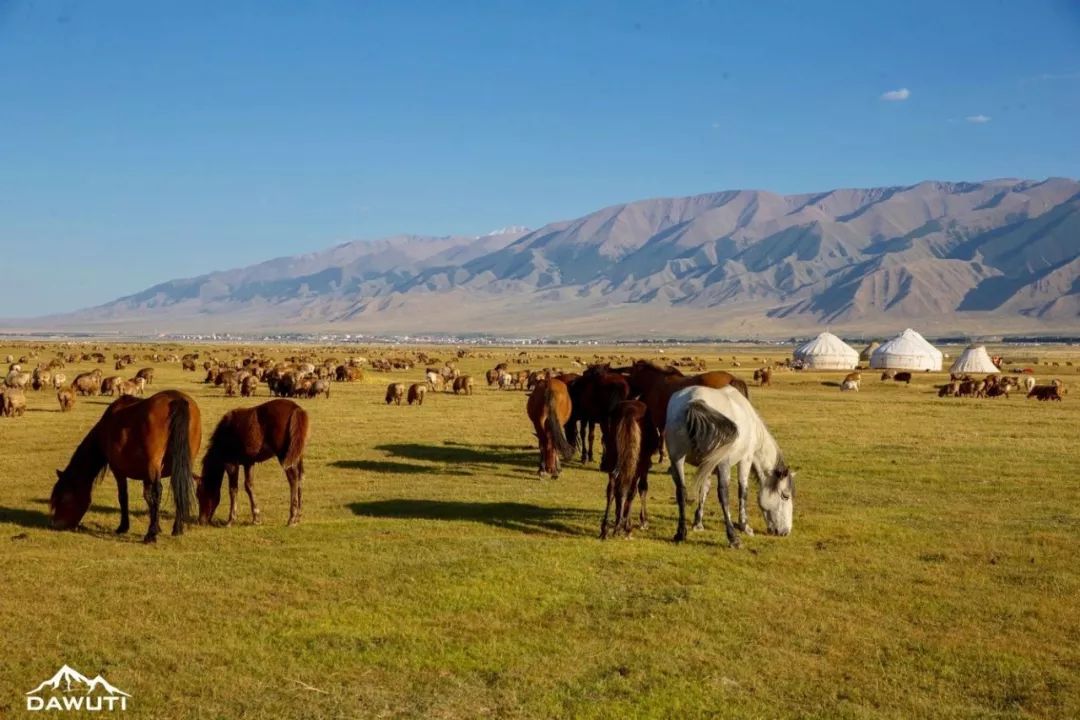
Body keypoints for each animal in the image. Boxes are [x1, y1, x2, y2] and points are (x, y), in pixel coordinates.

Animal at [48, 390, 201, 544]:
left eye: (64, 499)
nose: (55, 525)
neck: (106, 428)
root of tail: (176, 399)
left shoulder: (119, 471)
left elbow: (124, 497)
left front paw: (124, 527)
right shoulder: (146, 475)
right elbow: (148, 497)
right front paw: (157, 526)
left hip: (154, 464)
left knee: (158, 492)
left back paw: (150, 535)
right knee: (179, 488)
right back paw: (177, 528)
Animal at [197, 397, 311, 526]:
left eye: (201, 494)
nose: (201, 521)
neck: (225, 434)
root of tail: (296, 408)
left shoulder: (231, 464)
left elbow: (233, 489)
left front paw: (231, 519)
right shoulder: (249, 462)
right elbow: (249, 486)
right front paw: (256, 518)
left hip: (285, 456)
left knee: (293, 479)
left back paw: (292, 518)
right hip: (297, 455)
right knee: (300, 478)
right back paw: (298, 517)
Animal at [600, 399, 656, 539]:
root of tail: (629, 412)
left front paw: (618, 522)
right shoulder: (644, 465)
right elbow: (642, 488)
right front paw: (642, 521)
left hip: (613, 455)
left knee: (612, 488)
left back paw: (605, 529)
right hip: (639, 463)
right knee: (631, 490)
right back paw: (627, 527)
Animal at [613, 360, 747, 468]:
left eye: (631, 374)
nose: (628, 395)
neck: (654, 383)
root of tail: (732, 378)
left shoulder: (659, 420)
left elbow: (661, 436)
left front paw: (662, 457)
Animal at [665, 388, 794, 546]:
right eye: (785, 496)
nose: (785, 531)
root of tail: (695, 400)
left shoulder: (707, 465)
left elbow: (704, 490)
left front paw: (698, 523)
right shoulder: (745, 460)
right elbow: (743, 490)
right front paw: (744, 526)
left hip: (677, 460)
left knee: (681, 492)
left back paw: (681, 533)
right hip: (723, 464)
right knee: (723, 494)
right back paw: (733, 537)